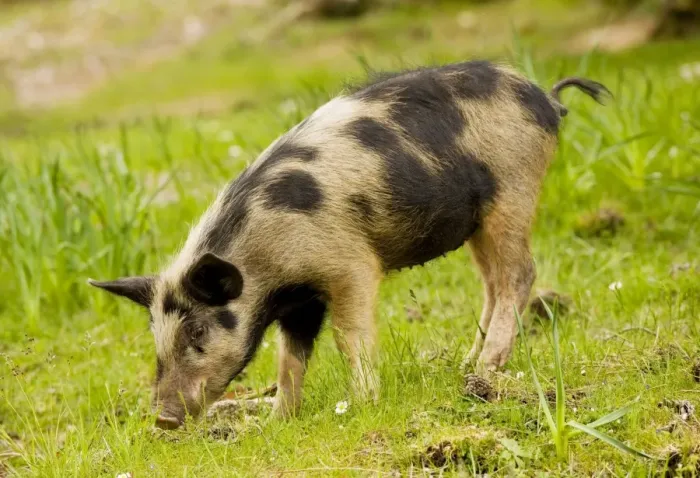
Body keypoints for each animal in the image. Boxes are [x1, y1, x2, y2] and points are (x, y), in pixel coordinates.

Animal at [89, 60, 611, 429]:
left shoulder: (349, 266)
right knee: (492, 283)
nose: (163, 418)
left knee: (520, 274)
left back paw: (482, 372)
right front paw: (277, 422)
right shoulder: (298, 303)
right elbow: (289, 359)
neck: (267, 266)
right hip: (477, 221)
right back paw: (465, 365)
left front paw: (362, 403)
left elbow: (349, 336)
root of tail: (545, 99)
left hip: (513, 191)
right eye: (155, 334)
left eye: (198, 332)